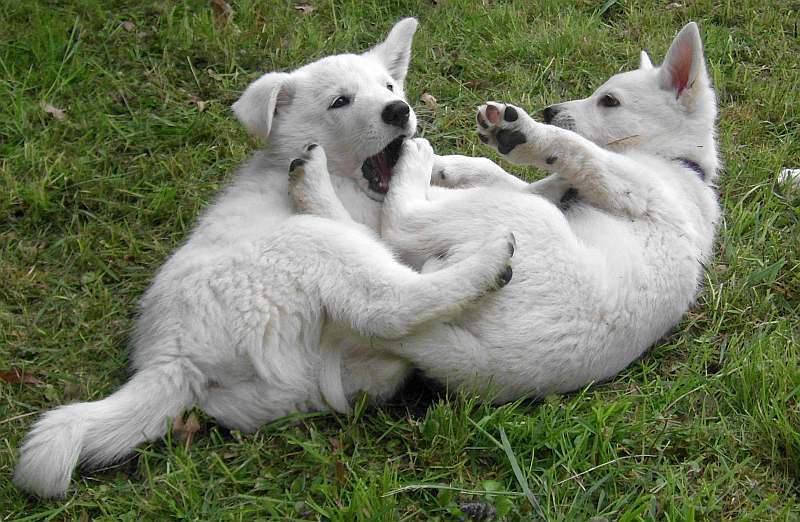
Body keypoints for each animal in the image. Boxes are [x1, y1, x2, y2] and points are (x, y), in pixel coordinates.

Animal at [14, 20, 520, 498]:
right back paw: (486, 264)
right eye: (340, 101)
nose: (398, 111)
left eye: (390, 86)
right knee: (384, 306)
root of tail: (173, 361)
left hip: (281, 389)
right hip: (307, 245)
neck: (349, 182)